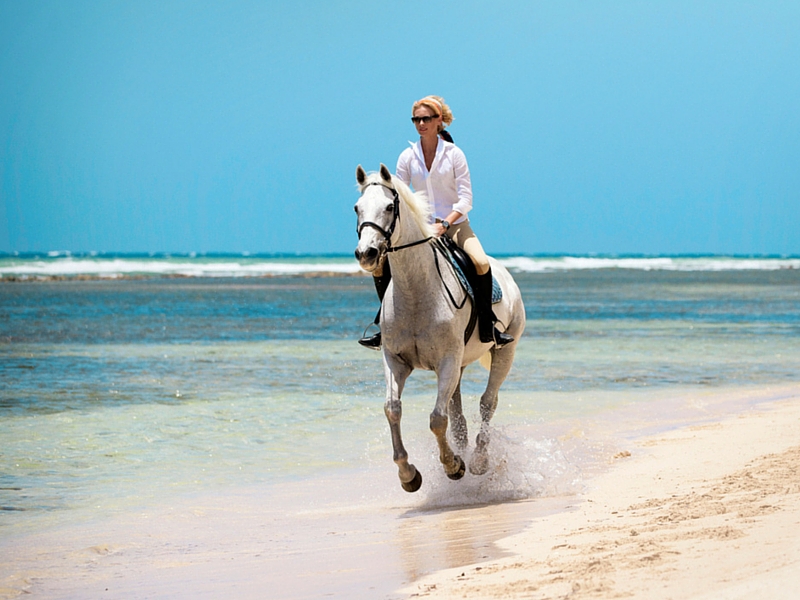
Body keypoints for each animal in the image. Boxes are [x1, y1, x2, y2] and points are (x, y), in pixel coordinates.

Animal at [354, 164, 520, 492]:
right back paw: (464, 448)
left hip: (503, 352)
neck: (416, 290)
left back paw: (478, 461)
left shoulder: (446, 361)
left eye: (389, 207)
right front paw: (408, 475)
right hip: (461, 364)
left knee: (487, 402)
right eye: (357, 208)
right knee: (457, 410)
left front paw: (453, 466)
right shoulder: (395, 361)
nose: (366, 254)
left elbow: (436, 420)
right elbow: (392, 408)